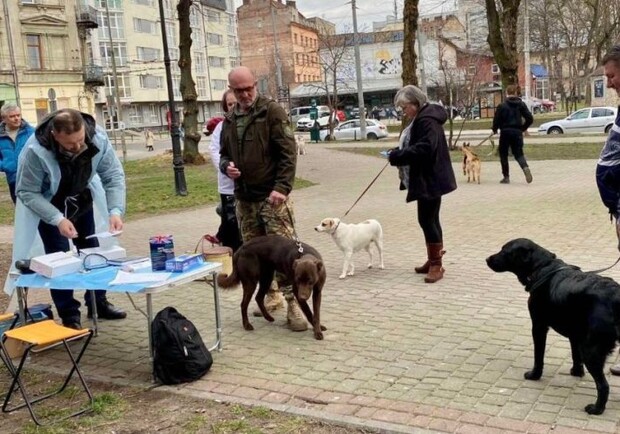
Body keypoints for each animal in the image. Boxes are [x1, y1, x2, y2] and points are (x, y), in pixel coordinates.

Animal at [486, 239, 620, 416]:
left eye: (504, 251)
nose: (487, 259)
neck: (542, 268)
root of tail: (616, 296)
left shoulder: (539, 325)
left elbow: (538, 356)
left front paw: (534, 375)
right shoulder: (575, 334)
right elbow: (575, 355)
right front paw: (576, 372)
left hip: (591, 349)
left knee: (603, 385)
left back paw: (596, 408)